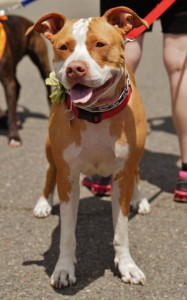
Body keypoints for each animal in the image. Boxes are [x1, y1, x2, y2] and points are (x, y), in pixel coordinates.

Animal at [25, 6, 150, 288]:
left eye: (100, 44)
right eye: (64, 47)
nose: (75, 68)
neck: (96, 115)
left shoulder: (122, 173)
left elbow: (121, 230)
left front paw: (126, 266)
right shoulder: (68, 177)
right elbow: (67, 233)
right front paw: (63, 268)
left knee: (137, 171)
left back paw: (140, 199)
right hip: (50, 150)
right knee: (50, 171)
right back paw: (43, 202)